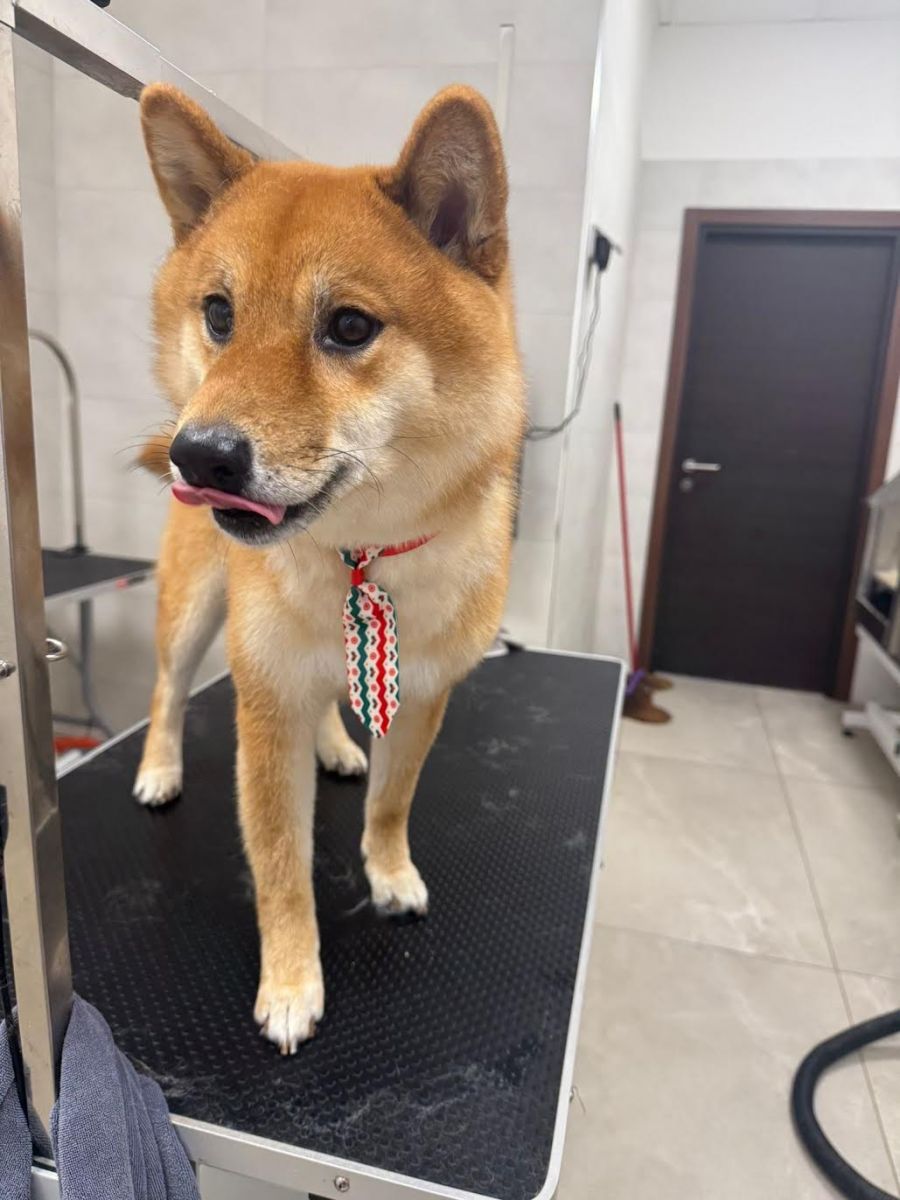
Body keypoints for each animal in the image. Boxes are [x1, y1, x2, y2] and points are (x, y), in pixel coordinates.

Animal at [132, 82, 525, 1052]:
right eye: (219, 313)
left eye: (348, 327)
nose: (200, 457)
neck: (362, 557)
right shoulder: (264, 706)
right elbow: (279, 863)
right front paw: (291, 981)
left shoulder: (421, 696)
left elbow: (392, 802)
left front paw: (388, 872)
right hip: (193, 611)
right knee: (165, 690)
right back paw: (158, 767)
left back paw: (339, 747)